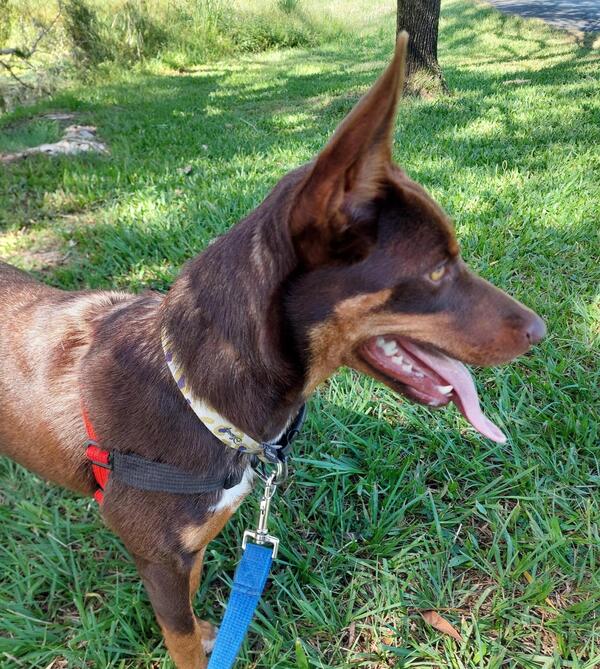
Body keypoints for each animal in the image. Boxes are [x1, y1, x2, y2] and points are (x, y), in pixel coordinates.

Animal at [0, 35, 545, 669]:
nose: (540, 331)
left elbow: (193, 604)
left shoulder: (192, 547)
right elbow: (181, 640)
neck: (195, 395)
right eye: (437, 270)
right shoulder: (158, 560)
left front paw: (210, 630)